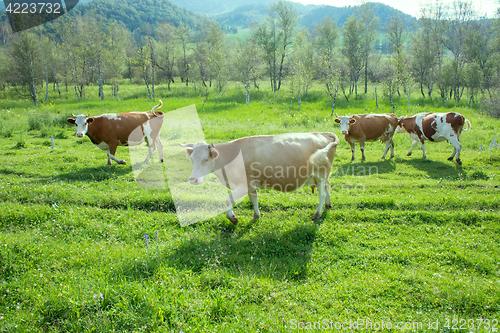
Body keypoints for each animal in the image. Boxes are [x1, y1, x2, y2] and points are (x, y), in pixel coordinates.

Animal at [180, 132, 340, 223]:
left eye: (206, 159)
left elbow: (228, 200)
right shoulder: (251, 185)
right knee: (328, 186)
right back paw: (328, 205)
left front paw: (233, 218)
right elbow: (254, 200)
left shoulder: (243, 185)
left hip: (320, 174)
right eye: (192, 159)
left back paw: (317, 214)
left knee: (322, 193)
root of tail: (322, 133)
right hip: (321, 176)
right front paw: (256, 216)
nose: (193, 179)